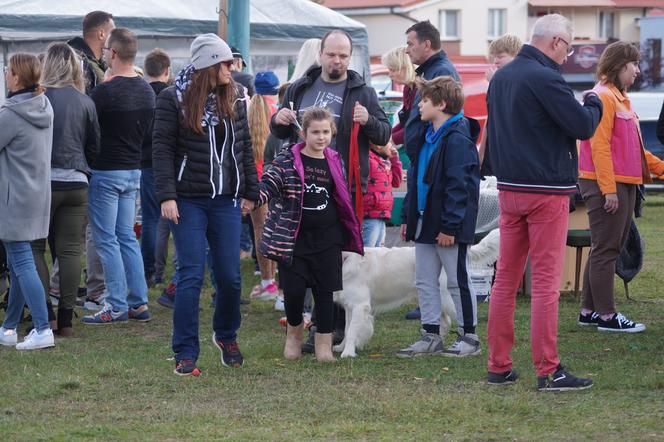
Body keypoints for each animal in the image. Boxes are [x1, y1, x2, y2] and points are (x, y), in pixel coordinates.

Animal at [334, 230, 500, 358]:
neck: (345, 259)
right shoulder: (349, 306)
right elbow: (347, 328)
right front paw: (341, 347)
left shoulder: (360, 305)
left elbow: (352, 330)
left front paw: (348, 353)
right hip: (432, 297)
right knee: (445, 321)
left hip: (448, 298)